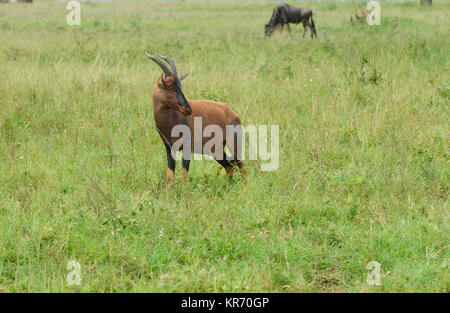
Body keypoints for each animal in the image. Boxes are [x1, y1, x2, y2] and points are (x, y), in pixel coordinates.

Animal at [146, 52, 246, 182]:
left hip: (233, 145)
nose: (188, 109)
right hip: (216, 150)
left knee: (241, 166)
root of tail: (233, 114)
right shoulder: (169, 148)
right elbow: (170, 176)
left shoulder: (187, 147)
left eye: (180, 85)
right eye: (170, 85)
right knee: (229, 167)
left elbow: (184, 175)